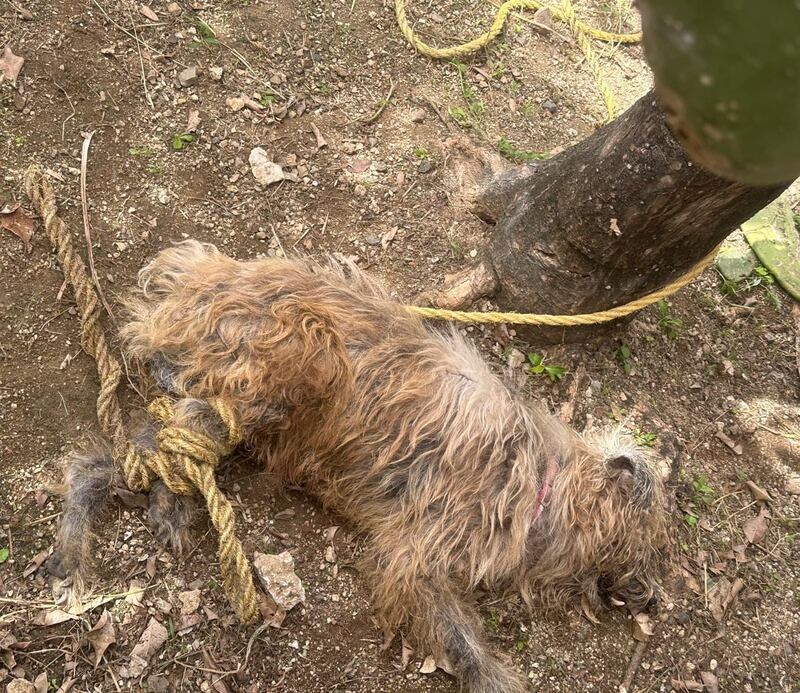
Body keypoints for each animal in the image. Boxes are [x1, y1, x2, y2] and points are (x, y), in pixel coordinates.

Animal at [50, 242, 668, 692]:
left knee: (152, 444)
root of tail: (199, 278)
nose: (650, 599)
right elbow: (460, 640)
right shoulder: (414, 555)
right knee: (148, 443)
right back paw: (91, 530)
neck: (542, 485)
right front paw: (495, 678)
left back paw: (154, 507)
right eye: (644, 548)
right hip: (295, 360)